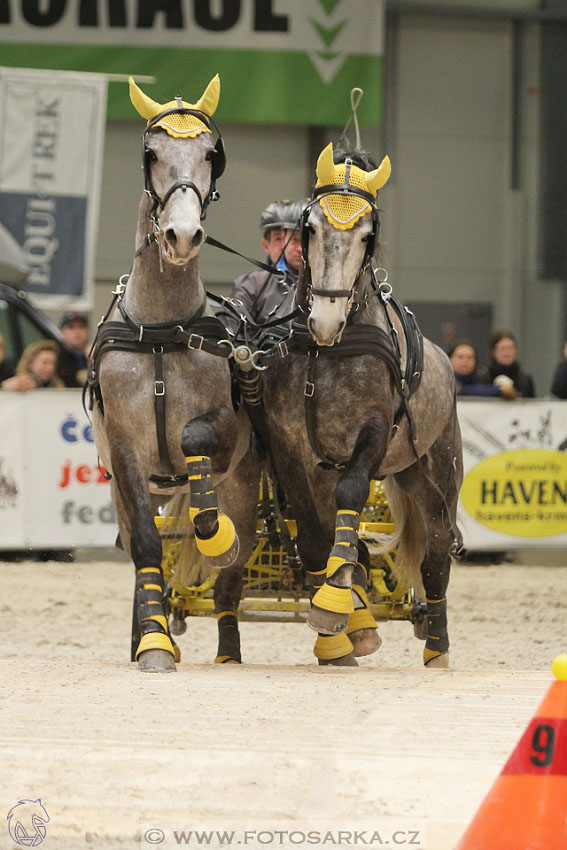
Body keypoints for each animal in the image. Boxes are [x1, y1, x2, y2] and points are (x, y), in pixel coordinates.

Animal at [260, 141, 462, 664]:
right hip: (406, 469)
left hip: (440, 461)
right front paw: (341, 632)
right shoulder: (289, 448)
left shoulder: (371, 436)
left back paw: (438, 646)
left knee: (437, 544)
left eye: (368, 235)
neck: (327, 352)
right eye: (311, 227)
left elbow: (351, 496)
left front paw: (336, 602)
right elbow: (314, 534)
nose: (325, 321)